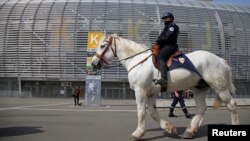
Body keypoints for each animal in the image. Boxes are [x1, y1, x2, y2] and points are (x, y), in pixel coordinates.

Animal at [91, 33, 239, 140]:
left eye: (102, 46)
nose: (93, 63)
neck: (138, 61)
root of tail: (221, 60)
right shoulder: (150, 93)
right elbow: (152, 113)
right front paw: (169, 128)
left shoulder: (140, 91)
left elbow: (141, 112)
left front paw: (137, 133)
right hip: (199, 88)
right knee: (202, 108)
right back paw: (190, 131)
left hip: (219, 87)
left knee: (231, 105)